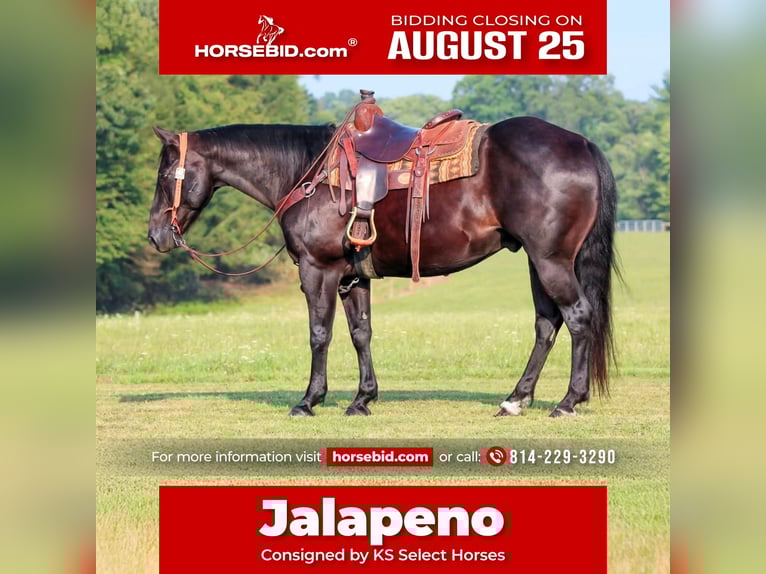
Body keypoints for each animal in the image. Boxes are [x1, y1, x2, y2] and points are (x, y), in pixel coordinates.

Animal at [147, 115, 619, 418]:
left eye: (166, 174)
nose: (156, 235)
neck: (308, 173)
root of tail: (580, 143)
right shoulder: (353, 277)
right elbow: (361, 334)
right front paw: (362, 399)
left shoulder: (318, 271)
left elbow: (319, 334)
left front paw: (309, 400)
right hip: (539, 262)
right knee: (546, 324)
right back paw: (516, 399)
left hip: (551, 260)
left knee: (577, 317)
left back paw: (568, 401)